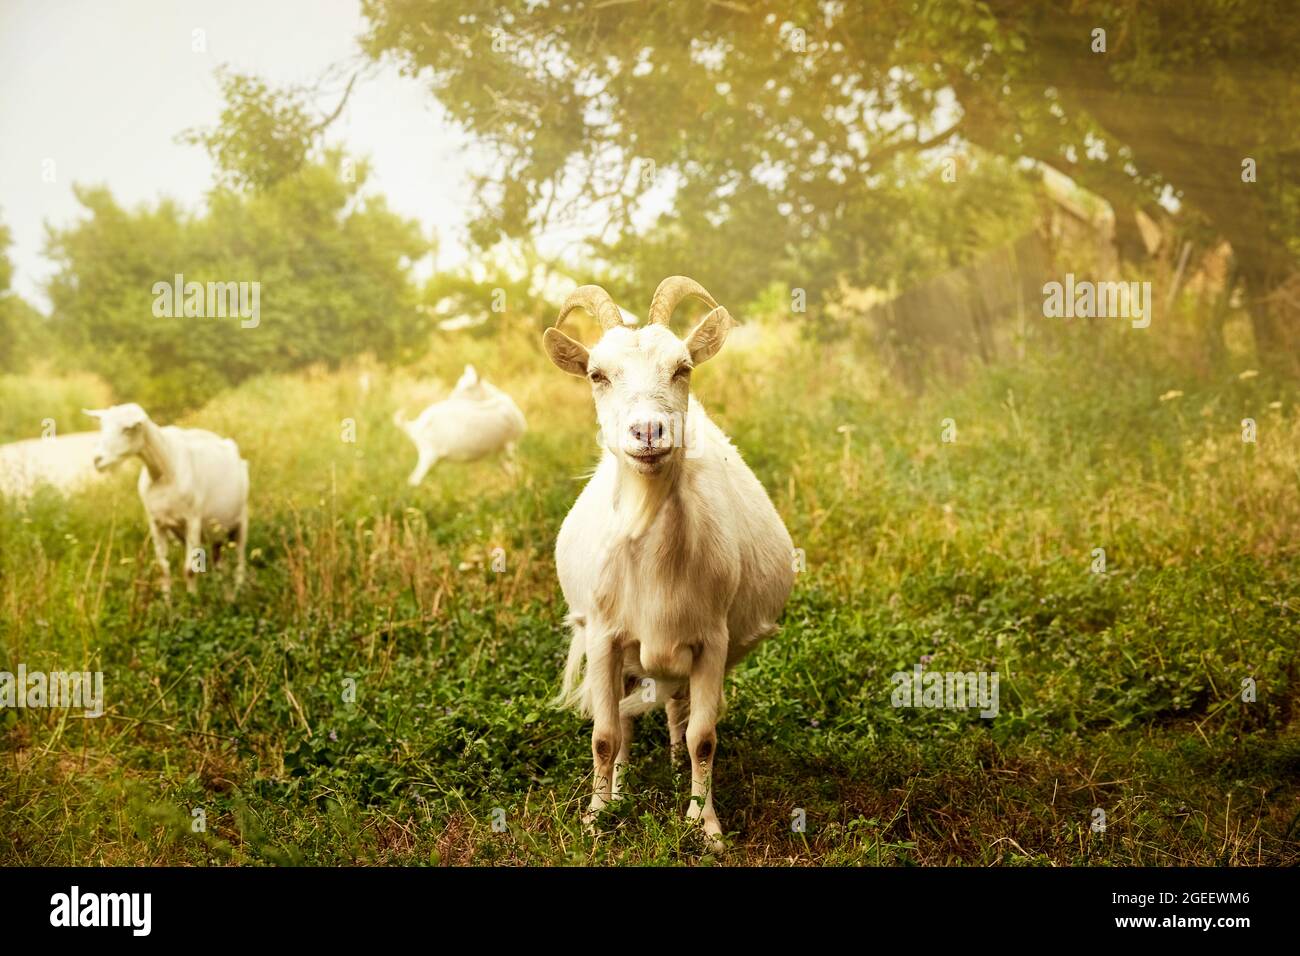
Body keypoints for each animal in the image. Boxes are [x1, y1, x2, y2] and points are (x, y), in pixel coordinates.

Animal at [85, 404, 249, 598]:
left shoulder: (193, 520)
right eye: (102, 427)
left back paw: (239, 589)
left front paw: (192, 600)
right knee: (219, 563)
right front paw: (167, 601)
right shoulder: (156, 523)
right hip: (216, 533)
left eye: (127, 429)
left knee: (240, 558)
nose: (97, 460)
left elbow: (189, 569)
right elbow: (163, 567)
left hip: (241, 520)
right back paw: (224, 592)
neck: (164, 470)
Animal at [393, 364, 527, 486]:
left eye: (468, 388)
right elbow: (513, 467)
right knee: (414, 480)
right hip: (428, 454)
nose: (450, 399)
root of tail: (414, 425)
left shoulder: (498, 451)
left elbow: (508, 469)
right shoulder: (511, 443)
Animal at [542, 277, 794, 847]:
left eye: (683, 367)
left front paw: (707, 826)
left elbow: (704, 737)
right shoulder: (605, 637)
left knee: (679, 710)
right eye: (597, 374)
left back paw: (678, 769)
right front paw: (596, 818)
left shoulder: (711, 640)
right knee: (626, 720)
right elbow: (605, 735)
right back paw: (623, 788)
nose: (648, 431)